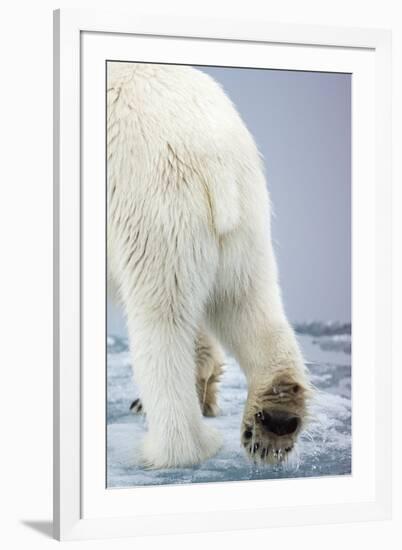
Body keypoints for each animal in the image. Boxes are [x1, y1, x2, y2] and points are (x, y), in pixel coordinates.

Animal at [107, 61, 310, 470]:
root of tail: (212, 155)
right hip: (246, 218)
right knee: (246, 301)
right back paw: (274, 418)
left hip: (154, 206)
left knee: (160, 318)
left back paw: (175, 446)